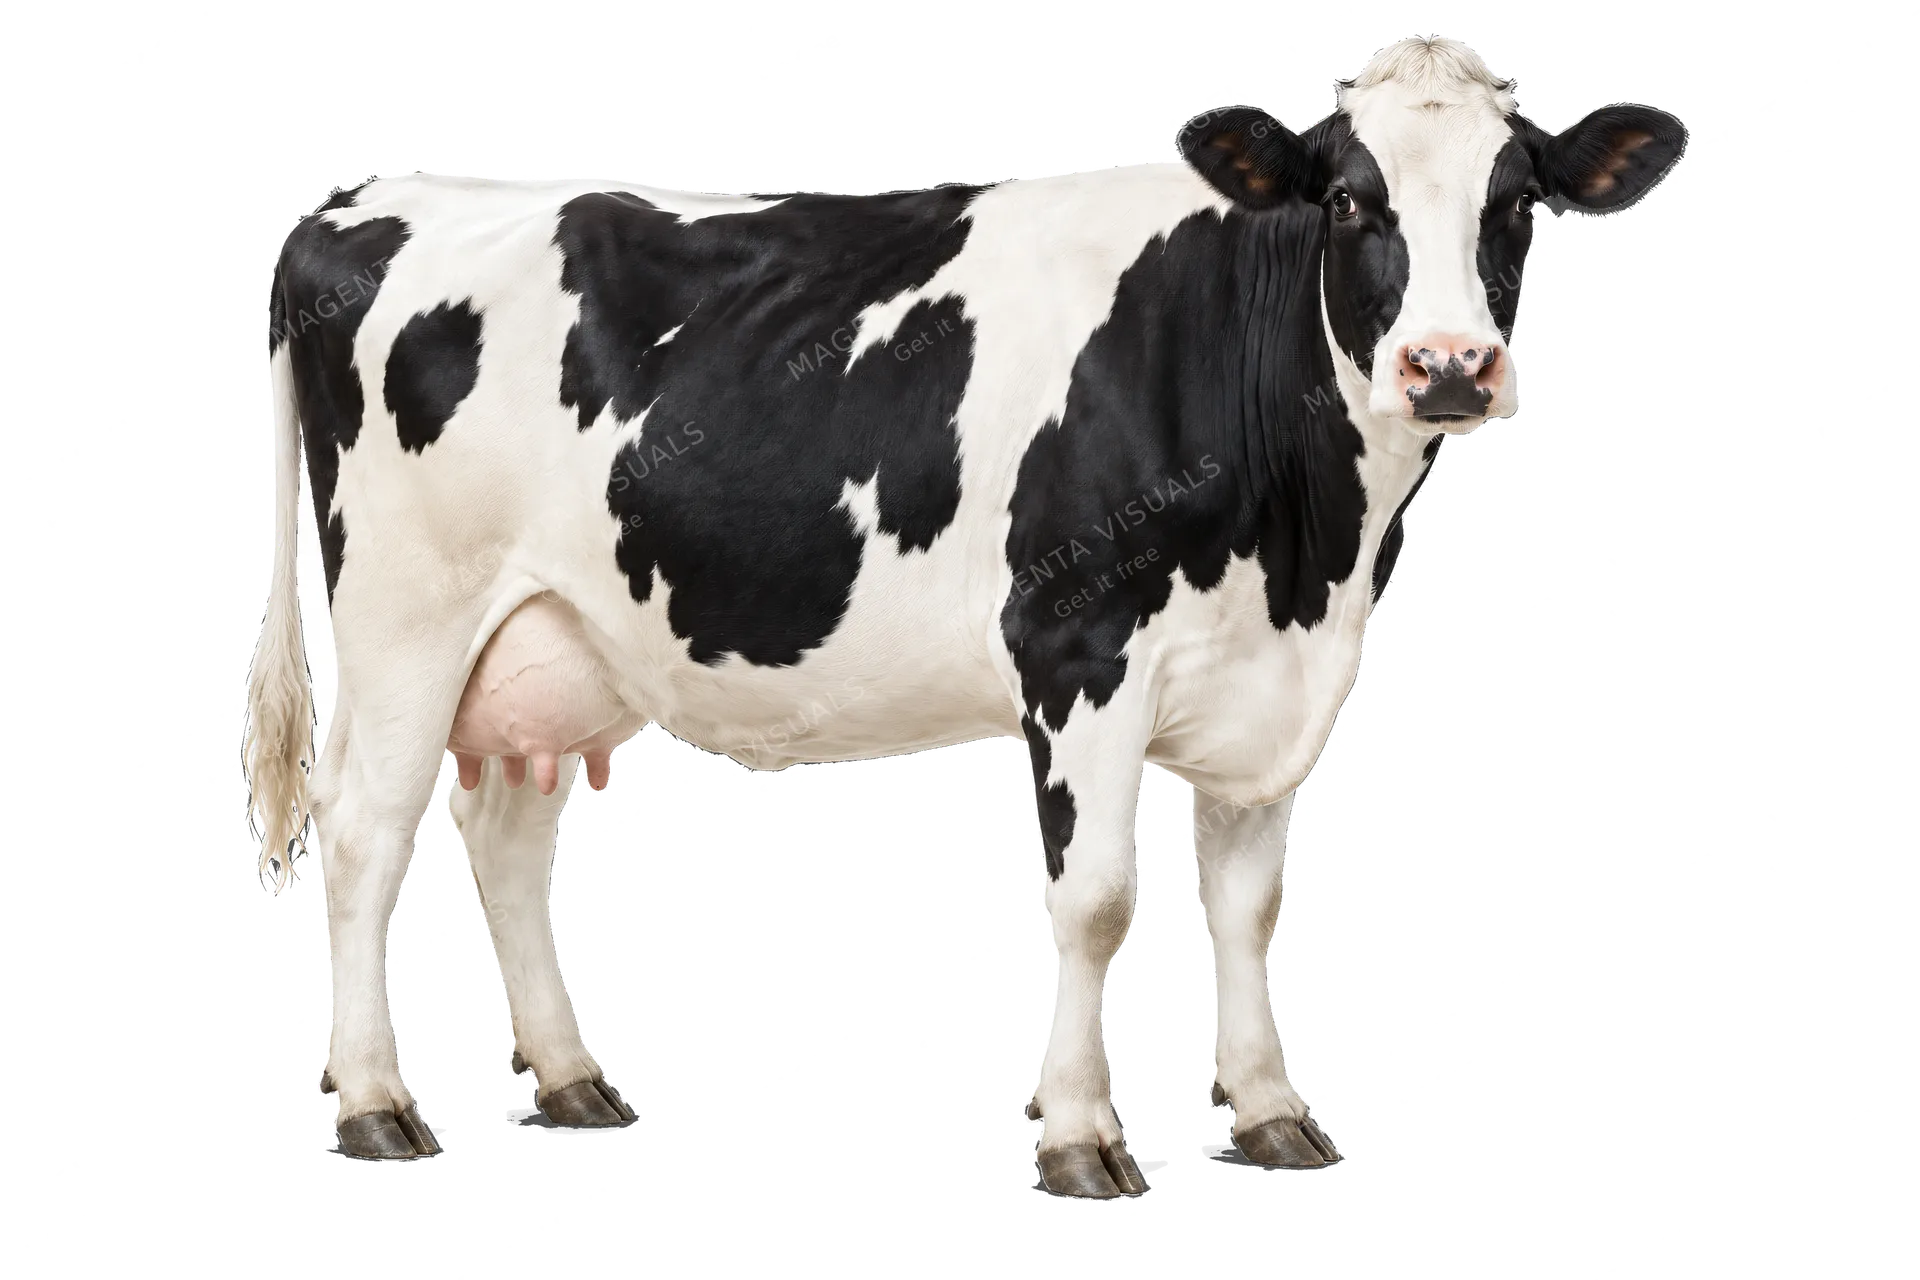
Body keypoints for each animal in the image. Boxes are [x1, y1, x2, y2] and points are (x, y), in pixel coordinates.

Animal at [246, 36, 1685, 1193]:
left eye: (1518, 205)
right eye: (1346, 200)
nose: (1449, 366)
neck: (1307, 552)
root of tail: (363, 201)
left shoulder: (1270, 684)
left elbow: (1249, 904)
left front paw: (1272, 1113)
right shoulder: (1078, 649)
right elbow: (1097, 898)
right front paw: (1081, 1137)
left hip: (542, 637)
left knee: (502, 837)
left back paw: (569, 1079)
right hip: (403, 616)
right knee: (366, 833)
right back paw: (374, 1106)